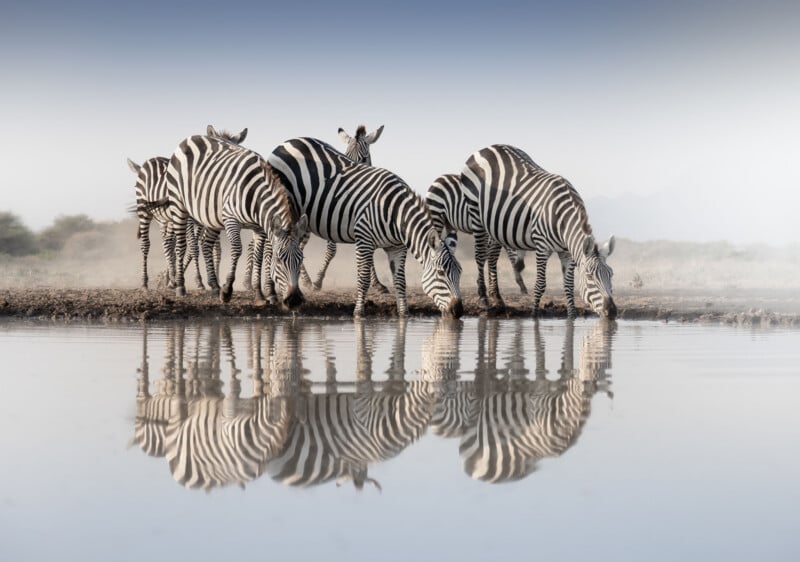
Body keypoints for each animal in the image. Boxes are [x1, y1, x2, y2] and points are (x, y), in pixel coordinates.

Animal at [165, 129, 308, 306]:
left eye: (301, 260)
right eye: (279, 259)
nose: (294, 300)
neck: (255, 194)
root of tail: (190, 138)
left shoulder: (259, 227)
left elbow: (258, 256)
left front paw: (259, 295)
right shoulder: (230, 219)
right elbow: (237, 249)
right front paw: (227, 291)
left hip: (211, 216)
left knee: (206, 244)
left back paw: (214, 287)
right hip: (178, 205)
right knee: (181, 245)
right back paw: (180, 286)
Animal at [267, 137, 463, 317]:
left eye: (459, 273)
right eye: (441, 273)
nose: (459, 311)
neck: (395, 213)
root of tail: (289, 141)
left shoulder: (397, 247)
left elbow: (400, 281)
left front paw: (403, 314)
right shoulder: (364, 240)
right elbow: (363, 279)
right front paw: (358, 313)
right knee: (270, 243)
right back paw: (269, 292)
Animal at [426, 173, 529, 309]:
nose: (522, 265)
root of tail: (440, 178)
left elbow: (493, 256)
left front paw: (494, 293)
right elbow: (491, 255)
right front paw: (487, 294)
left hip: (449, 222)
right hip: (436, 215)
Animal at [461, 144, 616, 318]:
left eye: (611, 274)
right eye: (590, 276)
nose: (612, 311)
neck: (562, 219)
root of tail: (485, 148)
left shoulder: (566, 252)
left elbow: (568, 286)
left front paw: (572, 317)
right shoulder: (542, 246)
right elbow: (540, 285)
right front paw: (535, 315)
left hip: (494, 224)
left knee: (492, 255)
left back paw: (497, 298)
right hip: (475, 213)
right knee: (480, 255)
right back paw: (483, 298)